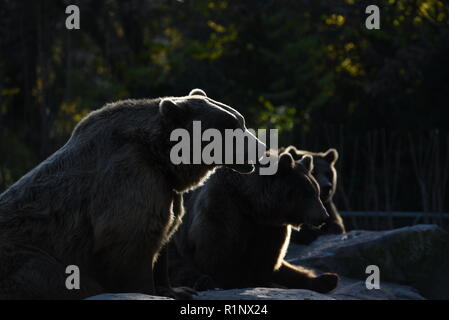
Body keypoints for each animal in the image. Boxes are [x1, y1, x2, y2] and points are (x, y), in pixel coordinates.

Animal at [0, 89, 260, 298]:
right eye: (231, 126)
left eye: (240, 120)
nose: (261, 147)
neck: (162, 159)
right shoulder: (131, 176)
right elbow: (132, 242)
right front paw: (147, 291)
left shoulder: (165, 189)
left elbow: (164, 234)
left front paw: (177, 290)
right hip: (27, 253)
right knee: (44, 273)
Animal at [168, 152, 336, 292]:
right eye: (307, 193)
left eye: (316, 191)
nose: (324, 216)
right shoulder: (223, 208)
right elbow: (217, 253)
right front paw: (231, 281)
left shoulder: (270, 227)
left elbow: (268, 258)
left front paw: (265, 281)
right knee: (181, 268)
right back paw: (203, 282)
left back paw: (327, 279)